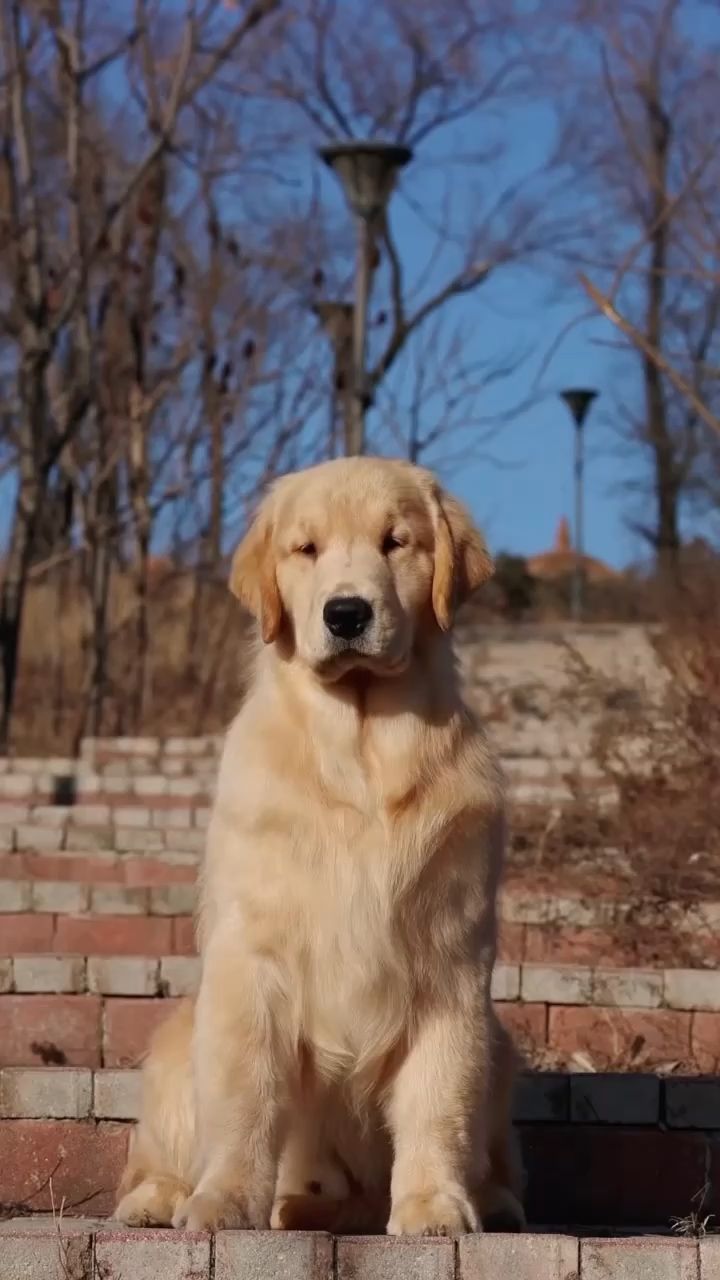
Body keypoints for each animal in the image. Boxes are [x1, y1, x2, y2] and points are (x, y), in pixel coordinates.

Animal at [114, 455, 525, 1233]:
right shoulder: (252, 955)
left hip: (504, 1044)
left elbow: (440, 1097)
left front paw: (434, 1202)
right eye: (305, 549)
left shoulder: (452, 962)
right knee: (157, 1147)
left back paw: (491, 1198)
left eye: (396, 542)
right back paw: (171, 1197)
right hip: (179, 1037)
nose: (347, 614)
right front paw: (224, 1200)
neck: (361, 753)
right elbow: (245, 1092)